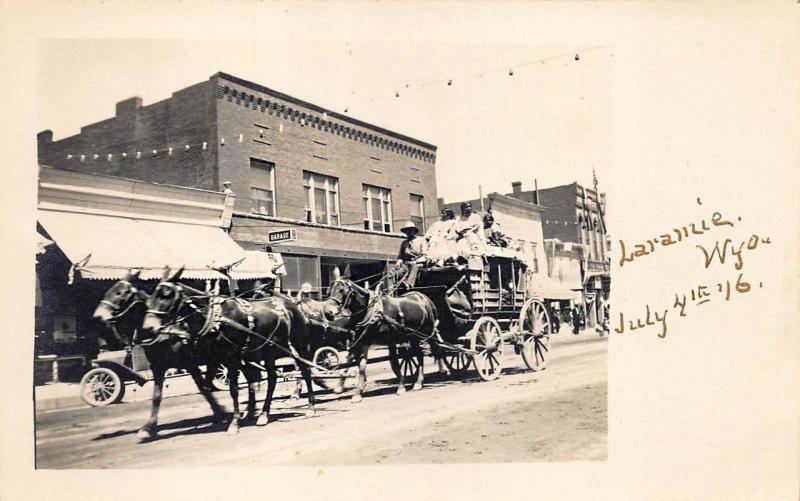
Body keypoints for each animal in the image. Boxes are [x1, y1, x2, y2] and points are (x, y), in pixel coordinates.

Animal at [141, 266, 318, 434]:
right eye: (152, 294)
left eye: (167, 294)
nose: (149, 327)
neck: (215, 318)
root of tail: (292, 305)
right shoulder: (216, 359)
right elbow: (209, 386)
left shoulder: (231, 358)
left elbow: (233, 389)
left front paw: (234, 422)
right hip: (268, 352)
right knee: (272, 379)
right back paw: (263, 414)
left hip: (299, 347)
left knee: (306, 372)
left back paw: (311, 407)